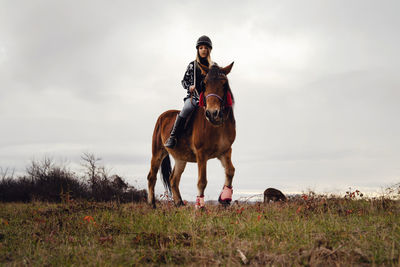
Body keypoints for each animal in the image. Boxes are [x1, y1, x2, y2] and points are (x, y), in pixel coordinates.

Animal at [146, 62, 234, 207]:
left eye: (224, 83)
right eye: (204, 83)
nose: (212, 113)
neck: (216, 126)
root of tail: (163, 116)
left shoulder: (225, 152)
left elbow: (230, 171)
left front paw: (224, 198)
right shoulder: (201, 154)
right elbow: (202, 181)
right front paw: (200, 207)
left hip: (180, 158)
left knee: (173, 179)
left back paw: (179, 203)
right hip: (158, 152)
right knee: (152, 177)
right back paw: (152, 204)